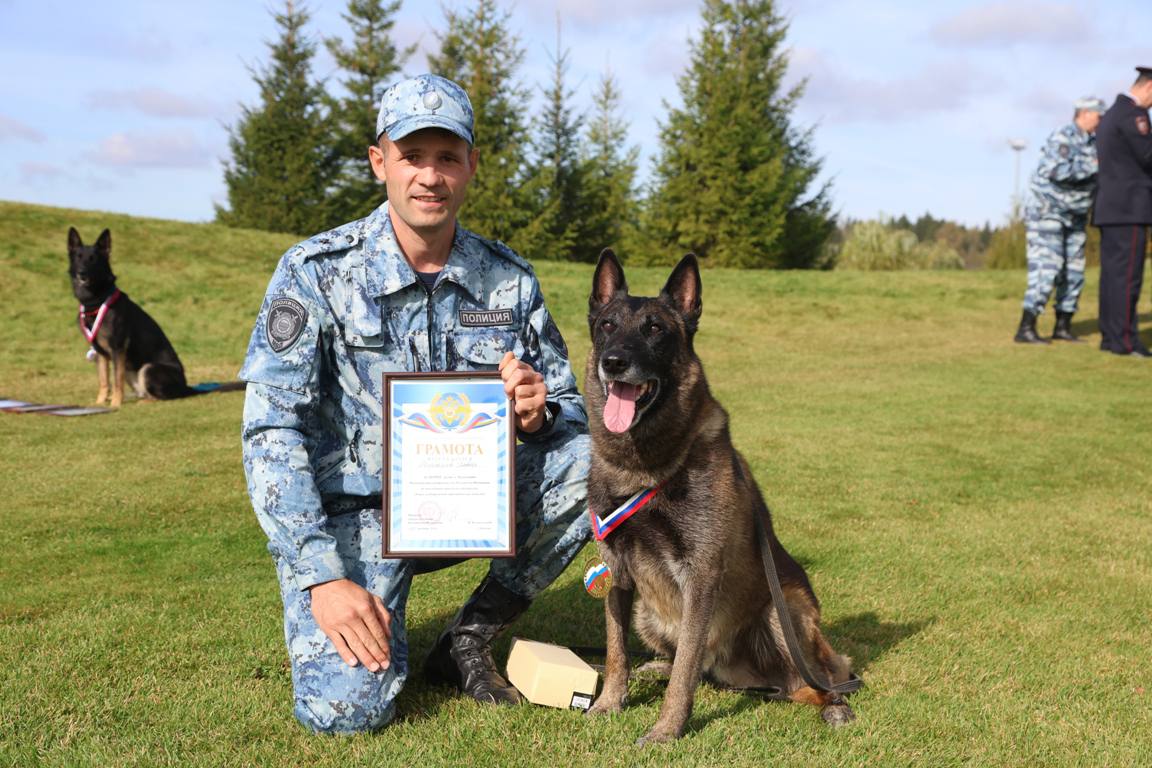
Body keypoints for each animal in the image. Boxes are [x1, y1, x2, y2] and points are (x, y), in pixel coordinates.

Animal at [69, 225, 198, 407]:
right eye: (78, 258)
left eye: (93, 259)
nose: (82, 273)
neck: (96, 301)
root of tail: (186, 386)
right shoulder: (101, 353)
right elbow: (104, 381)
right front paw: (100, 403)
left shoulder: (118, 350)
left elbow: (116, 381)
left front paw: (115, 404)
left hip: (148, 368)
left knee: (162, 397)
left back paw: (143, 402)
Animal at [585, 252, 857, 746]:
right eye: (608, 325)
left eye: (655, 329)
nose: (614, 362)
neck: (645, 465)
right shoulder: (617, 574)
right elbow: (617, 653)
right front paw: (610, 703)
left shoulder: (701, 574)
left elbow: (685, 672)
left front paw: (667, 730)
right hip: (649, 615)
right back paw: (656, 667)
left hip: (783, 612)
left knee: (812, 680)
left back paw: (834, 704)